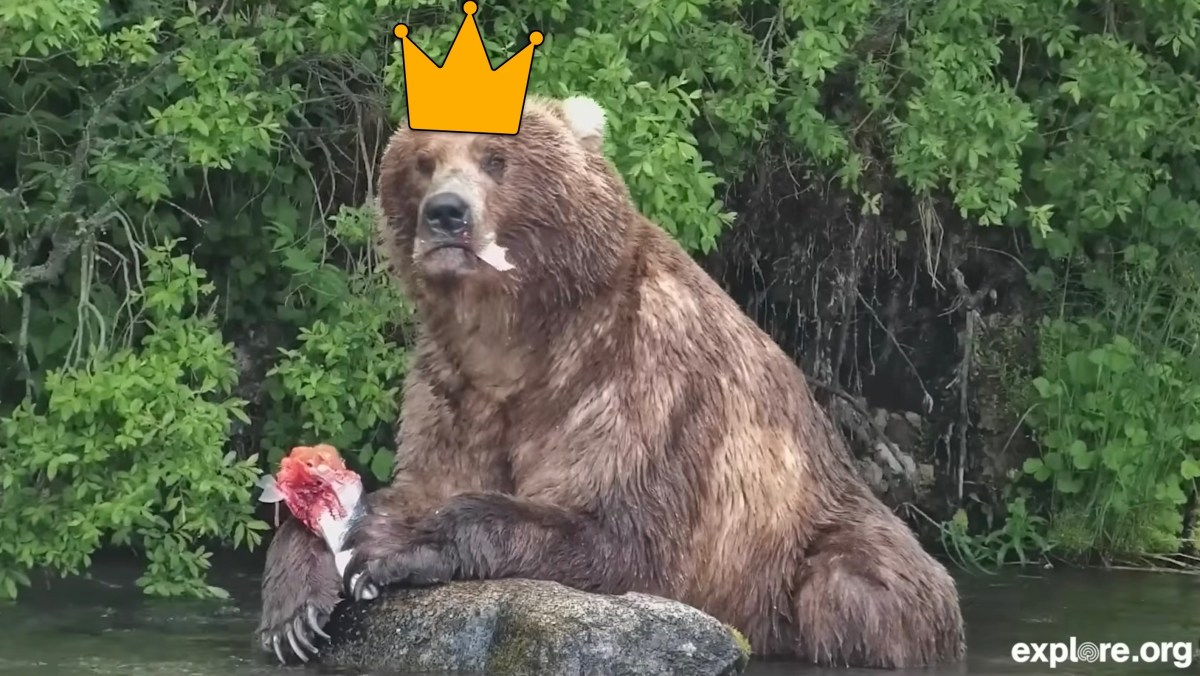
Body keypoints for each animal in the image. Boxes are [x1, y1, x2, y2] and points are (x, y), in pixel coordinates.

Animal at [255, 93, 967, 669]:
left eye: (495, 157)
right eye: (425, 161)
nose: (447, 214)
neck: (517, 335)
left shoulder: (635, 379)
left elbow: (620, 536)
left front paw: (393, 546)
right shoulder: (455, 386)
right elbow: (422, 481)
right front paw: (297, 606)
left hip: (819, 544)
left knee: (853, 590)